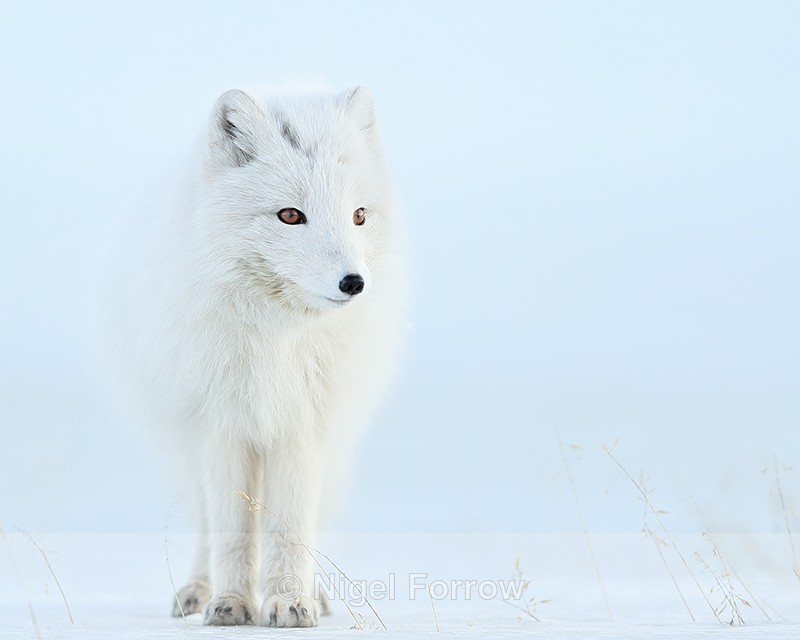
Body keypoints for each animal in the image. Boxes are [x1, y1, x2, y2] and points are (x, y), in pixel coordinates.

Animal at [108, 86, 405, 627]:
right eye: (290, 215)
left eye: (358, 215)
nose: (353, 283)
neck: (276, 339)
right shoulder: (222, 425)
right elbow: (231, 529)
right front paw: (230, 603)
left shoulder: (301, 425)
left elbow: (290, 527)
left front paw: (290, 603)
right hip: (190, 448)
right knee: (207, 525)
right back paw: (198, 591)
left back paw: (316, 593)